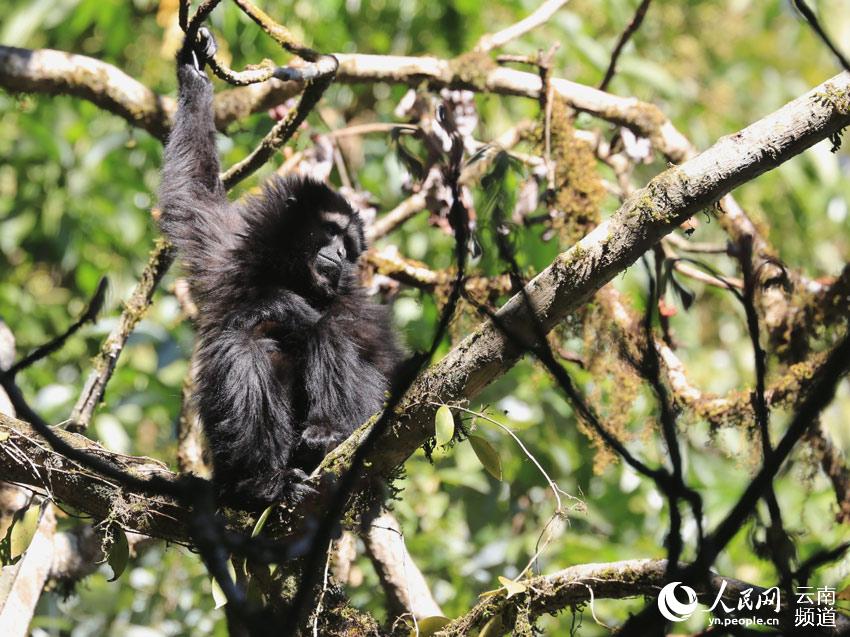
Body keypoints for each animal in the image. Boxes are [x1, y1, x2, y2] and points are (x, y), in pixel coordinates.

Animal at [157, 28, 402, 504]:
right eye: (331, 232)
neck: (288, 276)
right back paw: (262, 482)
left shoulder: (353, 299)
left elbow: (383, 364)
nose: (340, 254)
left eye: (349, 245)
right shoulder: (227, 253)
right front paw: (195, 75)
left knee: (329, 331)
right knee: (245, 342)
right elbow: (193, 190)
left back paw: (325, 436)